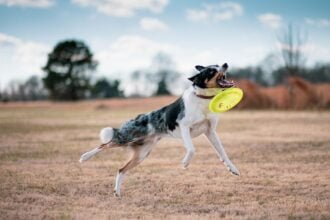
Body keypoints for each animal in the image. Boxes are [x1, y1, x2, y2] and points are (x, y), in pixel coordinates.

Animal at [80, 62, 240, 197]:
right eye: (212, 70)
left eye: (218, 65)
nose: (226, 64)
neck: (203, 99)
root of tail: (137, 118)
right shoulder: (184, 126)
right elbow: (192, 149)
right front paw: (185, 163)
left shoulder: (210, 132)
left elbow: (223, 153)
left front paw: (232, 169)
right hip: (125, 137)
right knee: (104, 144)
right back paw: (85, 157)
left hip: (142, 154)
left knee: (121, 169)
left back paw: (117, 192)